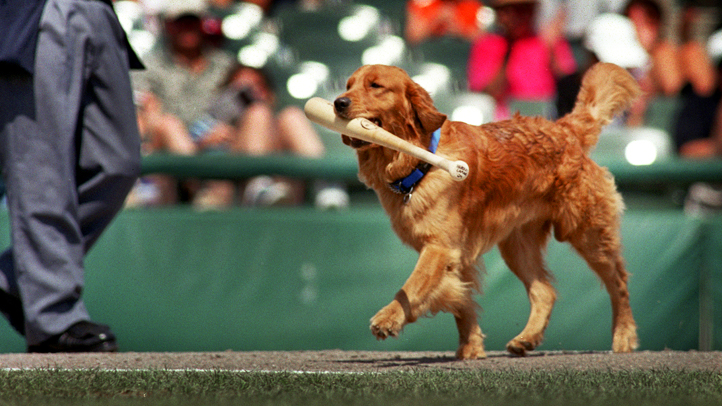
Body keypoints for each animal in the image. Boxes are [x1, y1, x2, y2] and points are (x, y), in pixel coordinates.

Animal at [334, 62, 640, 358]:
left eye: (375, 86)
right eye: (348, 85)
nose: (338, 102)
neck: (420, 161)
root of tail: (565, 128)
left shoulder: (440, 247)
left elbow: (412, 285)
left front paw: (389, 318)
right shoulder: (457, 253)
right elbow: (461, 303)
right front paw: (470, 348)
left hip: (587, 232)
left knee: (619, 282)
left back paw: (624, 335)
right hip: (518, 246)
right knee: (545, 291)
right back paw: (527, 338)